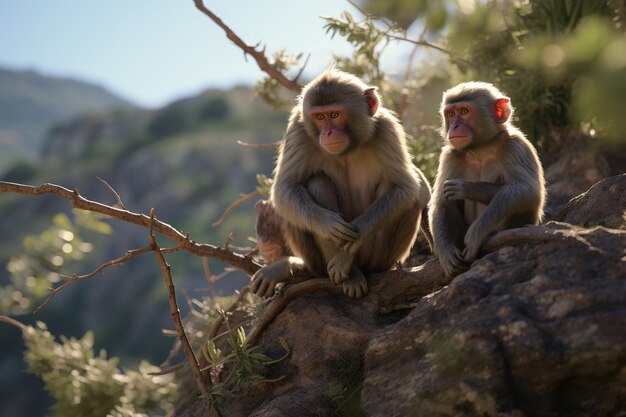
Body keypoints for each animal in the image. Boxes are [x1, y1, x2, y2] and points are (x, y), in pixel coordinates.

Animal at [249, 70, 428, 300]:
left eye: (334, 115)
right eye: (319, 117)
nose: (328, 133)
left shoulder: (388, 129)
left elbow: (406, 187)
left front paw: (352, 241)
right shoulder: (298, 130)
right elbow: (285, 188)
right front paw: (328, 225)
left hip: (381, 258)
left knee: (402, 193)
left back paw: (348, 264)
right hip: (317, 261)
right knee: (316, 182)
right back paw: (344, 274)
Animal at [426, 82, 544, 276]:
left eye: (464, 111)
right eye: (450, 114)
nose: (454, 126)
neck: (480, 149)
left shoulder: (516, 146)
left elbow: (528, 190)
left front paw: (477, 229)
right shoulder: (450, 156)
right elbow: (441, 203)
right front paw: (445, 251)